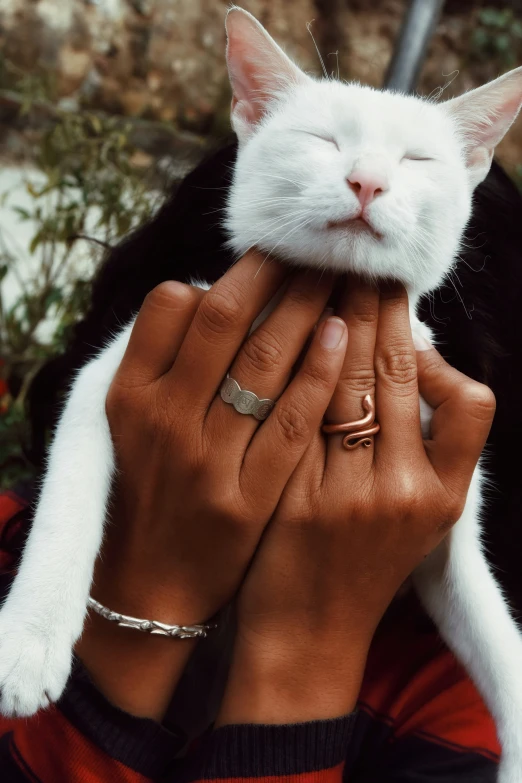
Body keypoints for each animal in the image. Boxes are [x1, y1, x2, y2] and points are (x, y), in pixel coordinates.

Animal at [1, 6, 520, 776]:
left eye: (416, 162)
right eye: (323, 140)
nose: (367, 182)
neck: (332, 311)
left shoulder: (447, 521)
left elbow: (494, 632)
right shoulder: (108, 375)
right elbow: (67, 494)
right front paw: (29, 638)